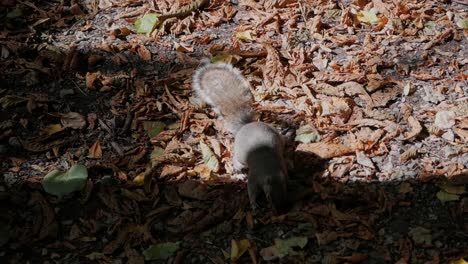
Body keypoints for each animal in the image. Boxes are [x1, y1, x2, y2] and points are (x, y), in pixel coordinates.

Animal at [192, 60, 288, 212]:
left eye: (285, 191)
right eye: (268, 197)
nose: (280, 210)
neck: (269, 168)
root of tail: (245, 126)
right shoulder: (254, 177)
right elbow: (251, 190)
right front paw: (254, 204)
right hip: (240, 156)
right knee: (235, 161)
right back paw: (240, 173)